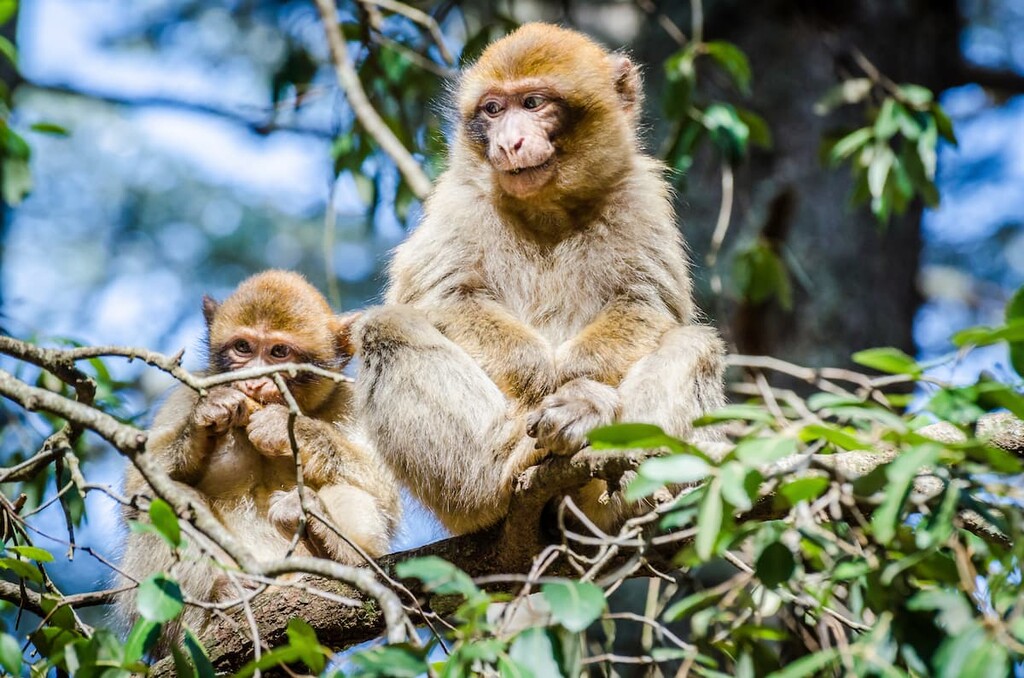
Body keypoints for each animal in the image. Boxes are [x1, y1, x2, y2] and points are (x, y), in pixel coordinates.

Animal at [114, 270, 400, 654]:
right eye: (243, 348)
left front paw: (282, 426)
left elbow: (385, 494)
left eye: (279, 352)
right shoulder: (195, 388)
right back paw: (216, 602)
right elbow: (136, 487)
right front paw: (208, 415)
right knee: (164, 500)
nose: (253, 380)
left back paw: (338, 549)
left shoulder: (350, 398)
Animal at [353, 23, 726, 537]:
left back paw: (618, 483)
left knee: (694, 344)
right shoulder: (459, 199)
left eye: (532, 103)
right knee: (389, 331)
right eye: (493, 109)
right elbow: (443, 296)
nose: (508, 142)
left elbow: (645, 302)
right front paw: (545, 379)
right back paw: (506, 465)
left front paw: (577, 392)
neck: (547, 206)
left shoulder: (639, 196)